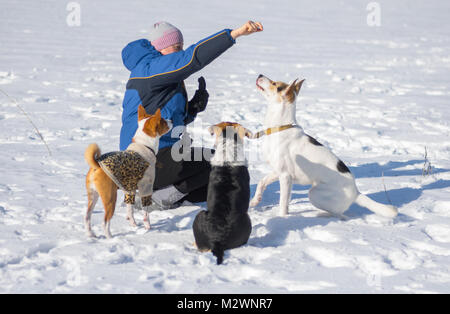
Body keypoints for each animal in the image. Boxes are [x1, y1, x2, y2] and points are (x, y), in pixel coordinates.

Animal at [84, 105, 171, 238]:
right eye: (164, 121)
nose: (171, 120)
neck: (144, 145)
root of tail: (96, 166)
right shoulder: (146, 188)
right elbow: (146, 213)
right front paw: (148, 228)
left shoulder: (130, 190)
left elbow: (130, 210)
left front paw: (133, 224)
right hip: (110, 198)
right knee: (105, 222)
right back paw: (110, 238)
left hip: (93, 196)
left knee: (87, 217)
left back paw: (91, 235)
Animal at [250, 75, 398, 220]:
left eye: (275, 84)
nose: (260, 75)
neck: (280, 127)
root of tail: (356, 192)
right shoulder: (278, 172)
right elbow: (262, 182)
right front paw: (255, 200)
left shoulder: (285, 176)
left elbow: (283, 203)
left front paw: (282, 218)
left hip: (314, 194)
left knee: (340, 215)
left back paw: (322, 215)